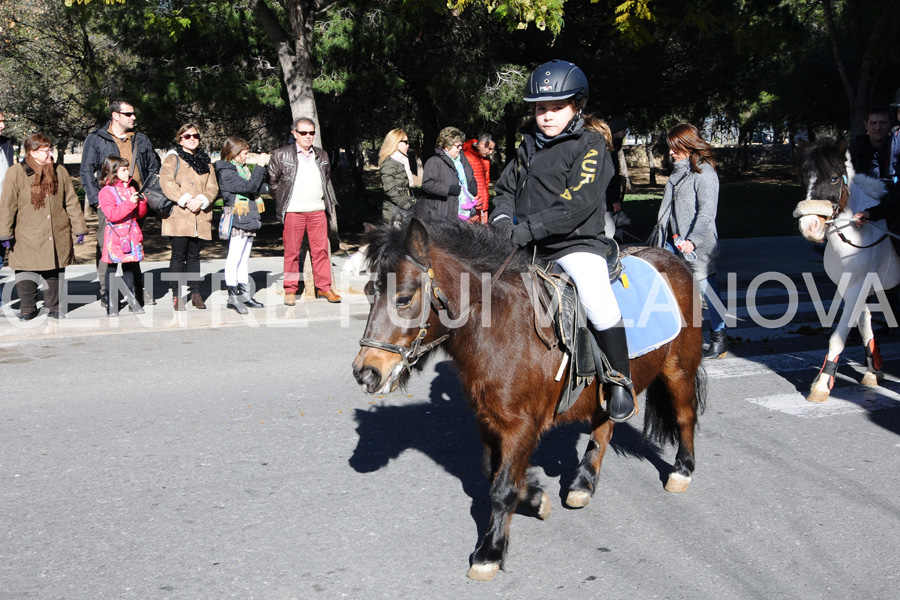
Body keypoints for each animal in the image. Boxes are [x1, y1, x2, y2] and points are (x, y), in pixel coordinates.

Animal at [348, 220, 708, 580]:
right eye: (368, 291)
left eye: (404, 297)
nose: (366, 373)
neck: (501, 326)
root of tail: (673, 260)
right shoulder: (488, 418)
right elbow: (492, 472)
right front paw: (536, 499)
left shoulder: (521, 425)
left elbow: (502, 488)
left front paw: (489, 553)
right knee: (604, 428)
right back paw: (583, 483)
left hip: (678, 369)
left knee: (685, 416)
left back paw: (681, 471)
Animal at [796, 139, 900, 404]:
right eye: (804, 178)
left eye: (834, 178)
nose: (810, 226)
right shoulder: (854, 286)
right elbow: (864, 328)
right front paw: (873, 371)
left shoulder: (858, 287)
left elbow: (838, 335)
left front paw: (823, 382)